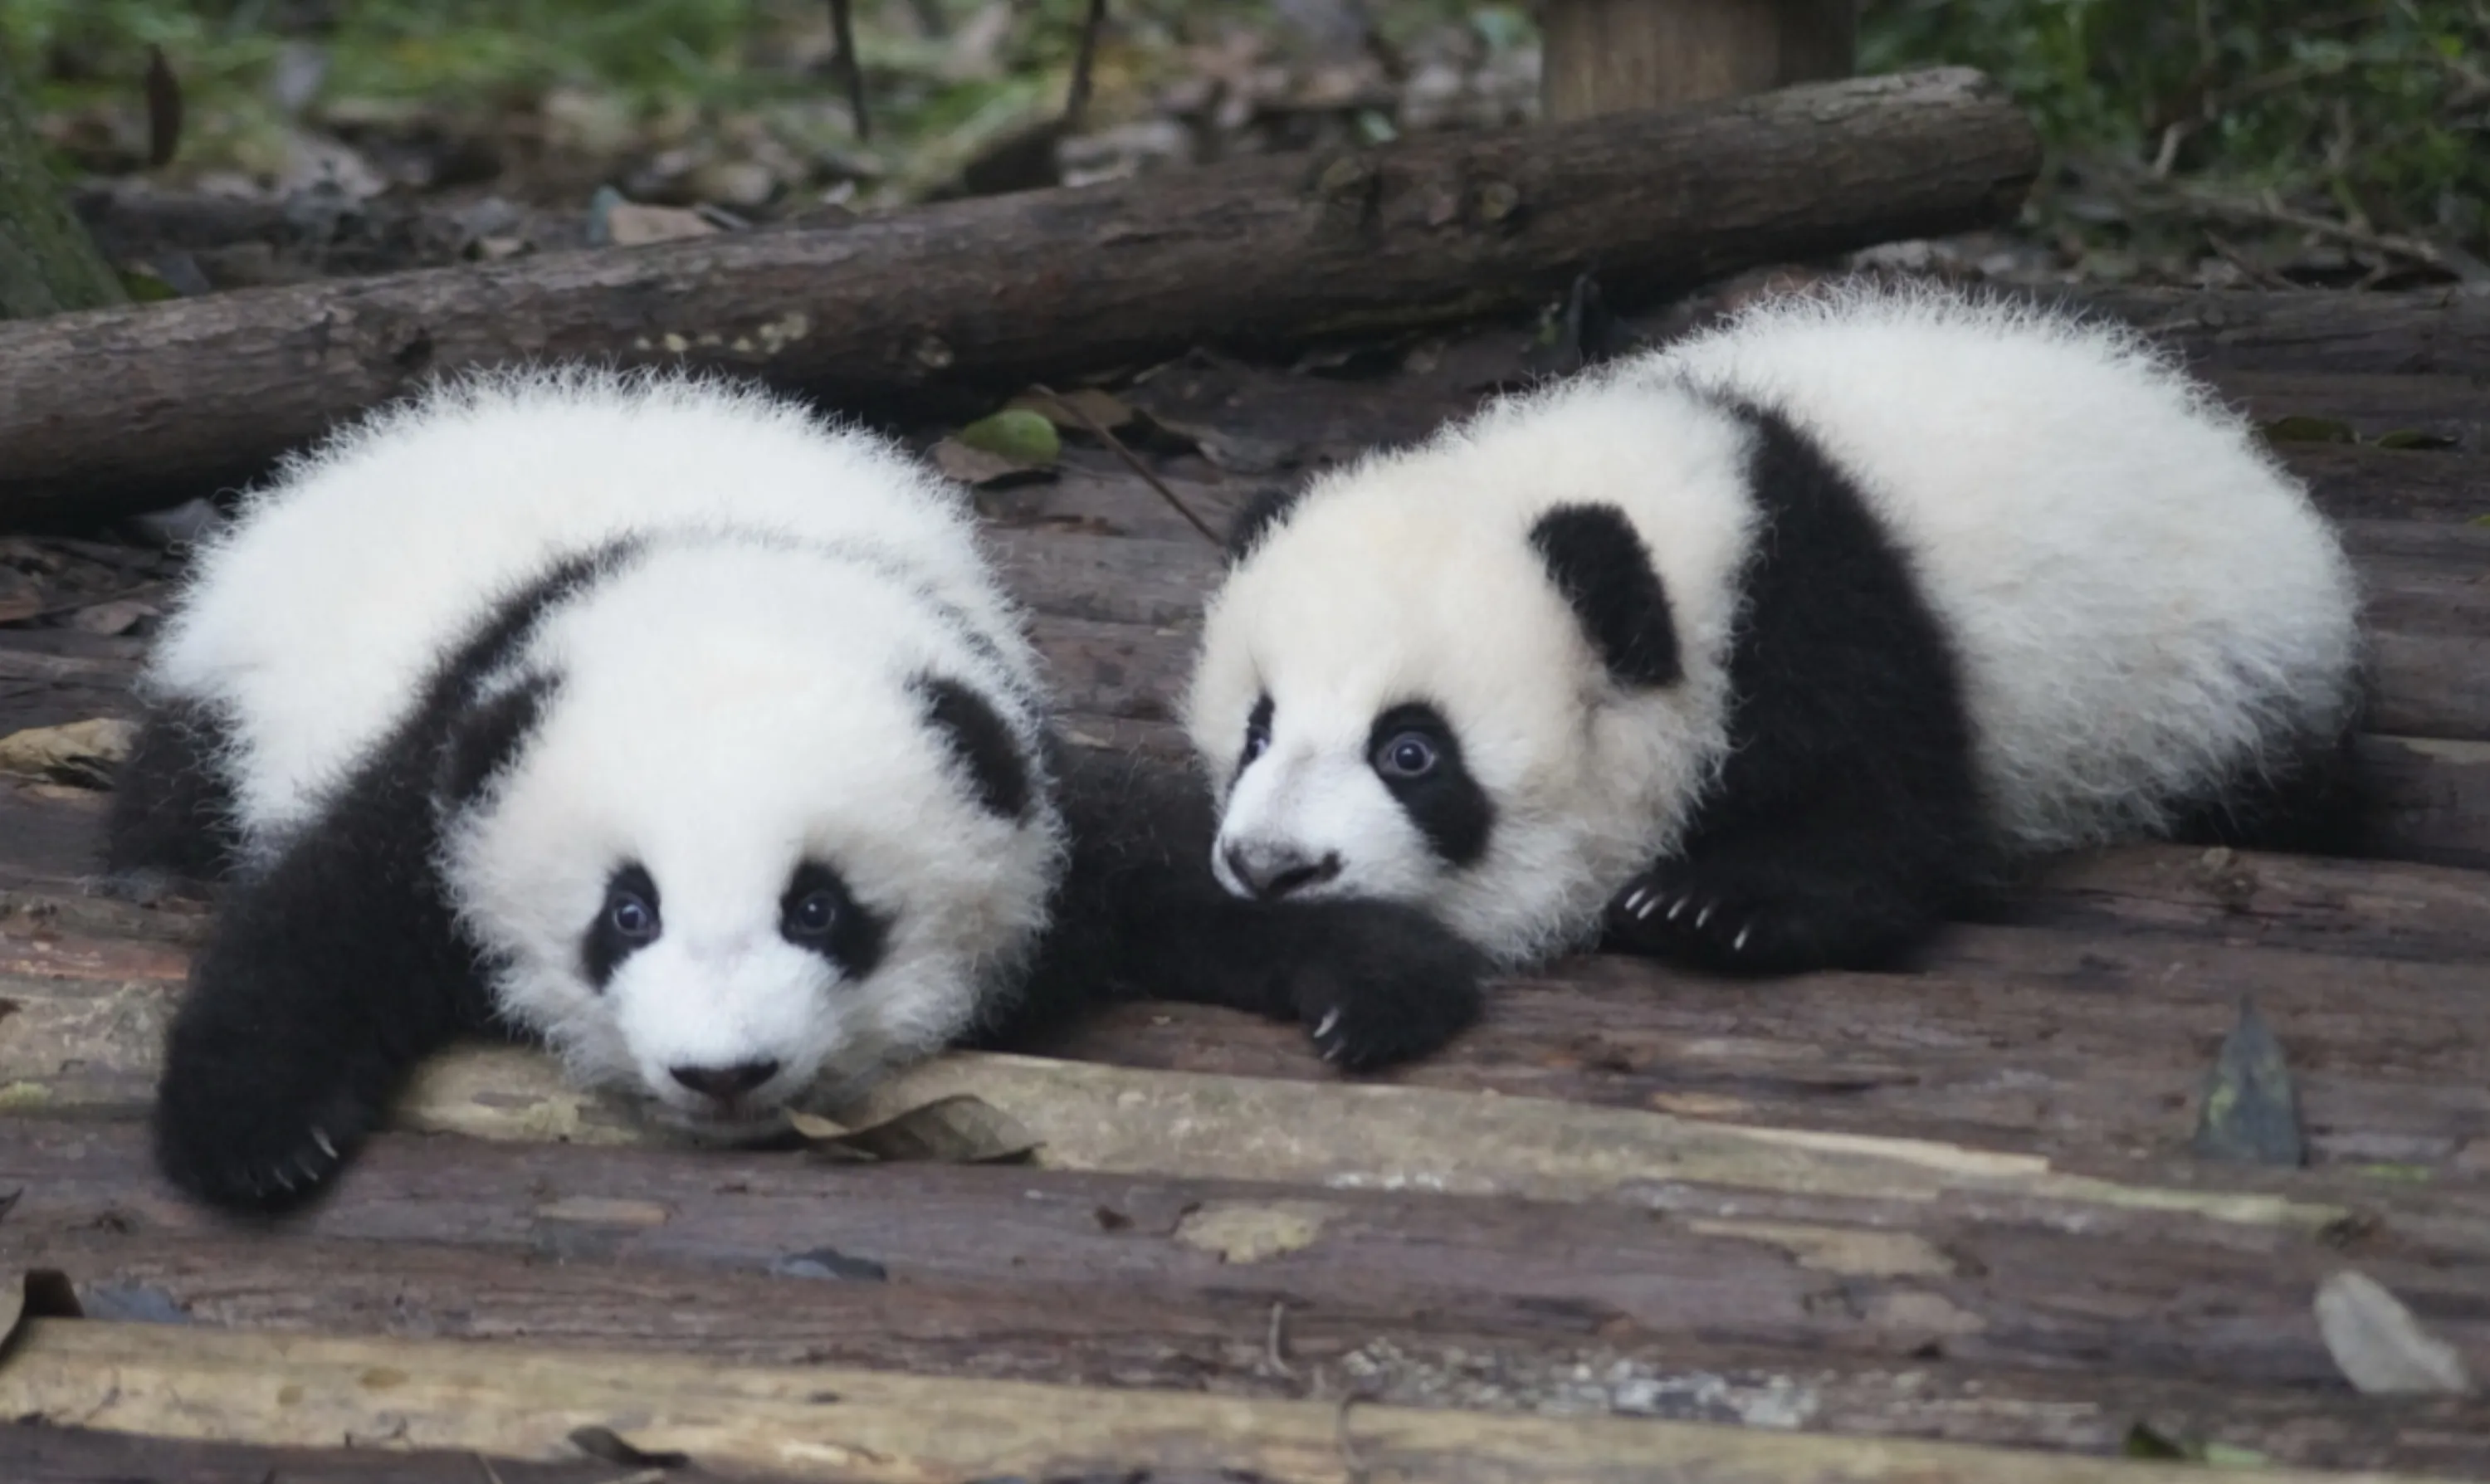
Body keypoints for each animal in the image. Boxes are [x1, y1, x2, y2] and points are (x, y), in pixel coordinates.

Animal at [112, 367, 1483, 1214]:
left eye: (821, 910)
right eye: (627, 915)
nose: (723, 1075)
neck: (728, 566)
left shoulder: (1005, 748)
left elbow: (1162, 861)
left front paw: (1373, 977)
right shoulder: (460, 747)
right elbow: (324, 919)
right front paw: (256, 1137)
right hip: (227, 684)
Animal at [1185, 281, 2364, 1036]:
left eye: (1412, 753)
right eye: (1256, 730)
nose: (1272, 868)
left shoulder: (1825, 615)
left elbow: (1884, 817)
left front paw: (1713, 907)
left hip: (2219, 685)